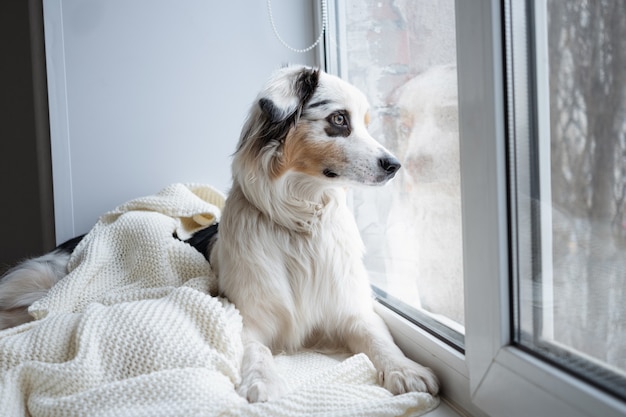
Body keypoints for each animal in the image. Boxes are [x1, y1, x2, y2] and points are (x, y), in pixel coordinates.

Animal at [0, 66, 436, 404]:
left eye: (365, 122)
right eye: (339, 120)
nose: (395, 164)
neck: (299, 225)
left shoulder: (349, 308)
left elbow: (378, 337)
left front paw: (406, 369)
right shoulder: (246, 315)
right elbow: (255, 349)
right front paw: (263, 381)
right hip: (36, 286)